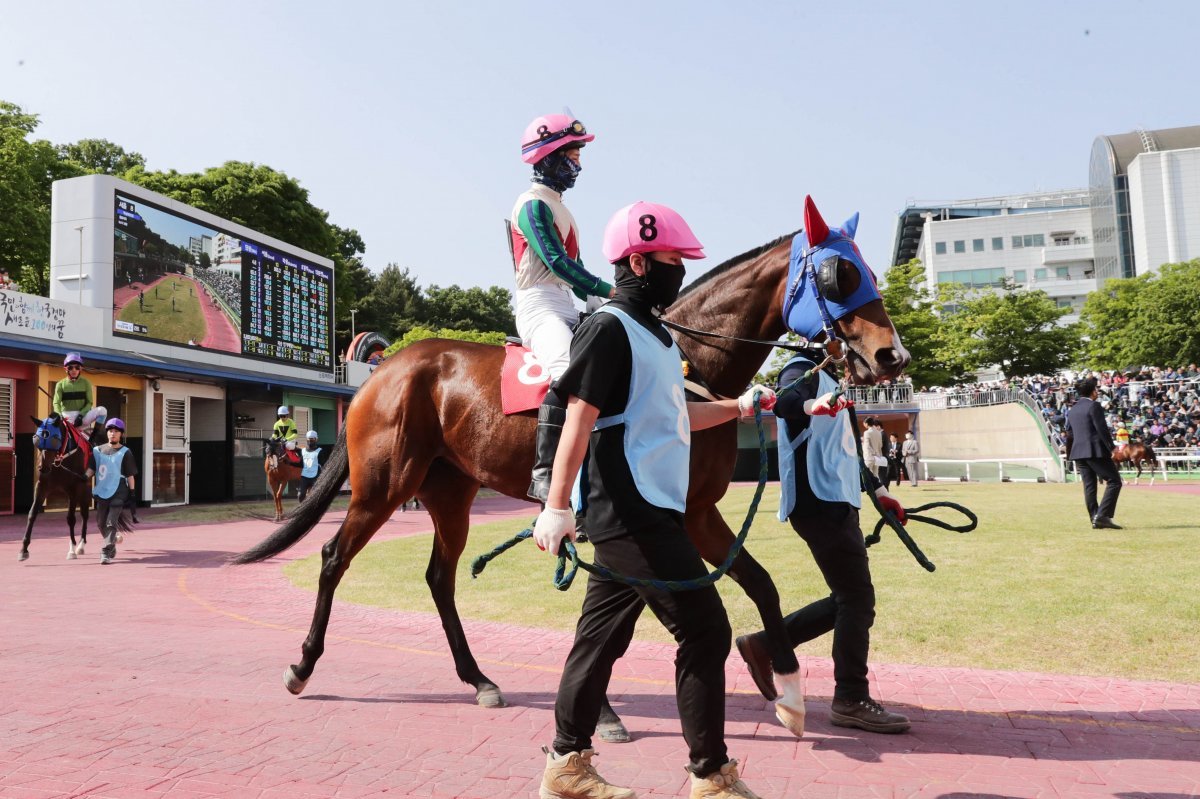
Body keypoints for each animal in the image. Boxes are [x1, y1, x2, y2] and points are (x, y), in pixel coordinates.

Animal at [18, 417, 93, 559]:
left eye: (54, 439)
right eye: (36, 439)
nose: (43, 468)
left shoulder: (75, 487)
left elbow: (71, 518)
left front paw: (72, 548)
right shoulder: (42, 486)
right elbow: (32, 514)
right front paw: (23, 549)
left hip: (85, 488)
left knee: (86, 514)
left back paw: (81, 545)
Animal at [236, 206, 907, 729]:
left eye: (869, 271)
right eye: (840, 273)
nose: (891, 356)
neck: (686, 365)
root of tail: (385, 369)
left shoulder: (691, 513)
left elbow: (759, 584)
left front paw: (786, 691)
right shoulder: (665, 518)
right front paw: (603, 709)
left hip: (450, 491)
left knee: (439, 578)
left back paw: (479, 679)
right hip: (384, 485)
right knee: (333, 558)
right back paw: (302, 666)